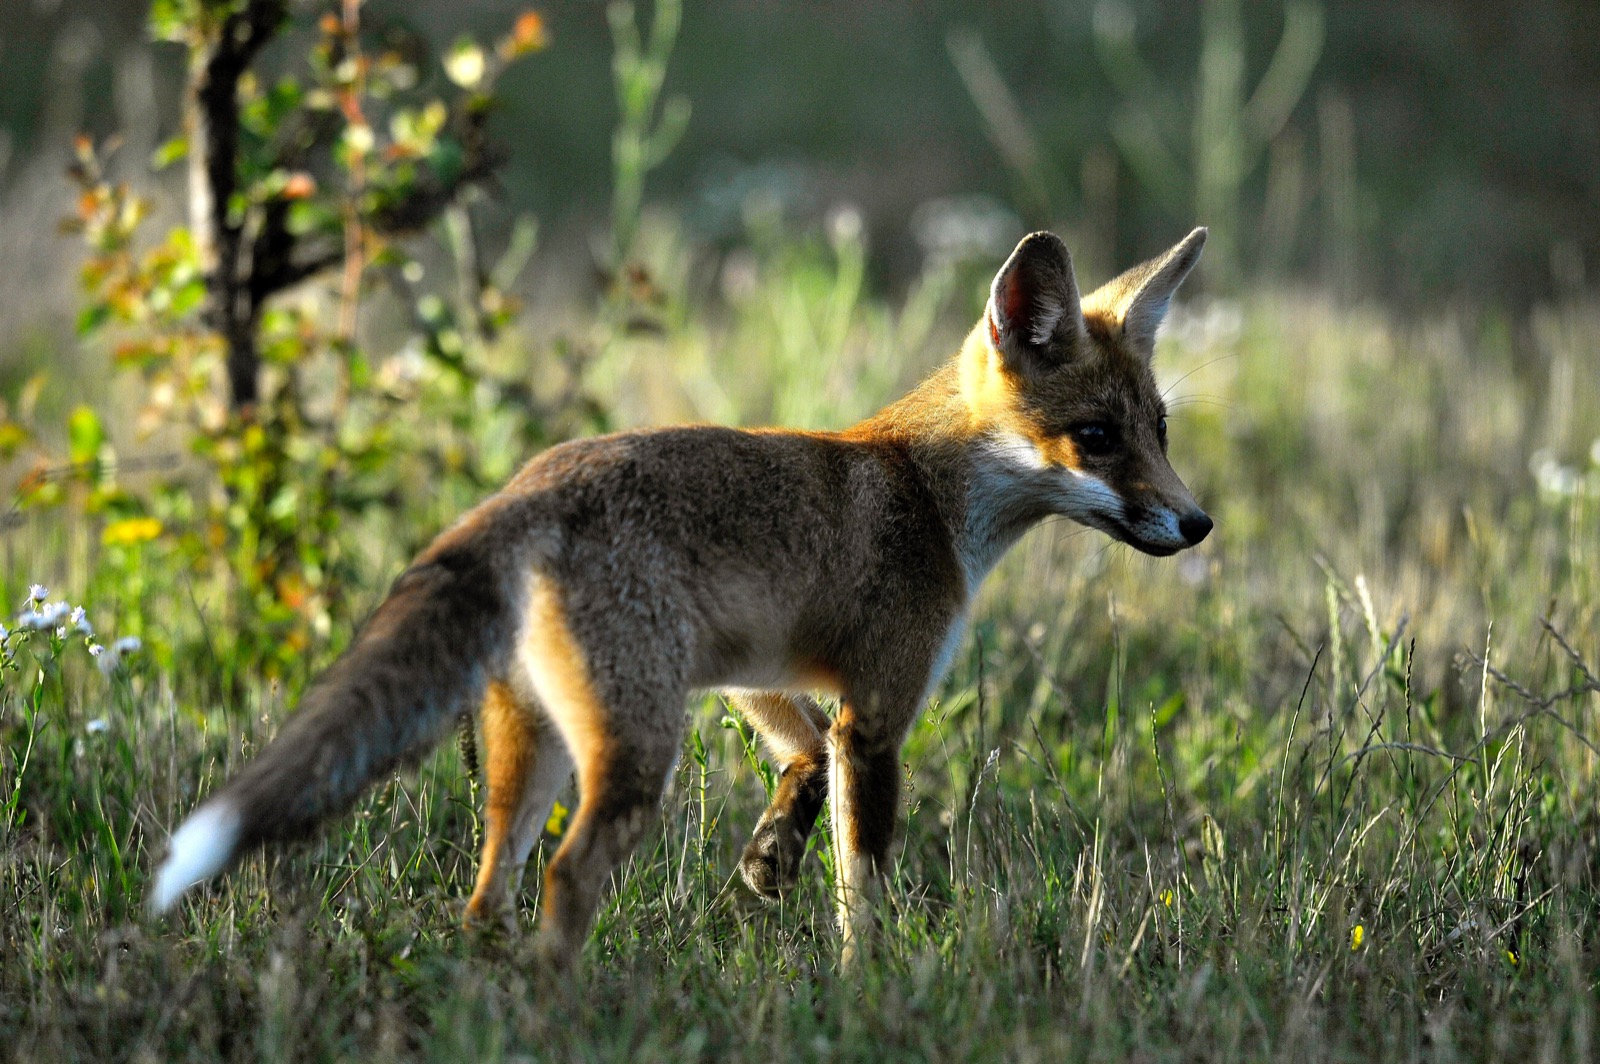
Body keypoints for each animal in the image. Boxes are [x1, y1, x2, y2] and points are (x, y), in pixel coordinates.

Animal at [156, 228, 1209, 966]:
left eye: (1159, 430)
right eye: (1097, 437)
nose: (1197, 524)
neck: (927, 489)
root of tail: (522, 487)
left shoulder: (753, 674)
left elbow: (803, 767)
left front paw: (766, 867)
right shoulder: (877, 713)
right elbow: (863, 893)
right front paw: (868, 987)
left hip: (533, 749)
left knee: (485, 902)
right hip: (634, 752)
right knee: (564, 881)